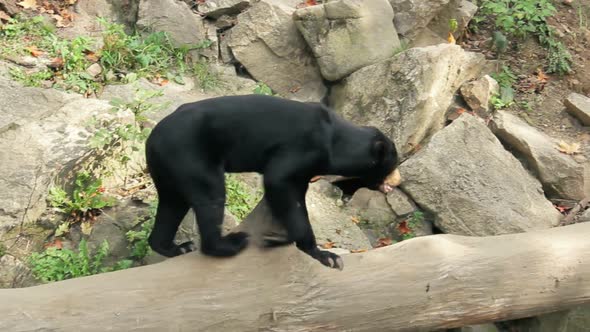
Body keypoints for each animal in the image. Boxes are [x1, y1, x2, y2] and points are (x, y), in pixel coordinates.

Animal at [146, 94, 400, 270]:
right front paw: (324, 255)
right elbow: (280, 183)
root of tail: (152, 138)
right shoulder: (301, 150)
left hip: (170, 171)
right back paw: (231, 243)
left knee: (171, 205)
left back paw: (176, 247)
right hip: (191, 155)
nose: (396, 181)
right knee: (211, 196)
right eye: (393, 163)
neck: (335, 140)